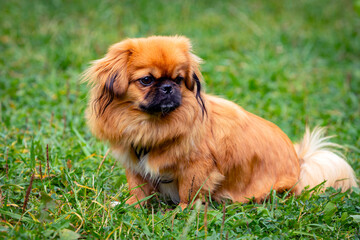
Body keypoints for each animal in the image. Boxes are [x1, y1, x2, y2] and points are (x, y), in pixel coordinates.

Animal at [83, 35, 358, 208]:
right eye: (147, 80)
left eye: (179, 79)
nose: (168, 88)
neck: (153, 125)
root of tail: (300, 163)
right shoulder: (135, 165)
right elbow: (138, 189)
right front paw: (131, 206)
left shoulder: (197, 167)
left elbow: (189, 192)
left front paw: (182, 212)